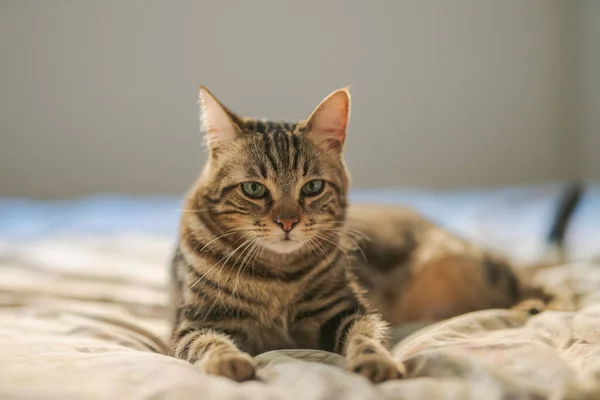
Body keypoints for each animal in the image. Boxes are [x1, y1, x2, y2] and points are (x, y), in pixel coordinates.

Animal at [169, 86, 406, 382]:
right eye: (253, 189)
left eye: (313, 187)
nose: (288, 222)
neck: (278, 278)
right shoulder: (195, 322)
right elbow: (207, 341)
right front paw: (228, 360)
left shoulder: (346, 309)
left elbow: (366, 333)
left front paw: (376, 361)